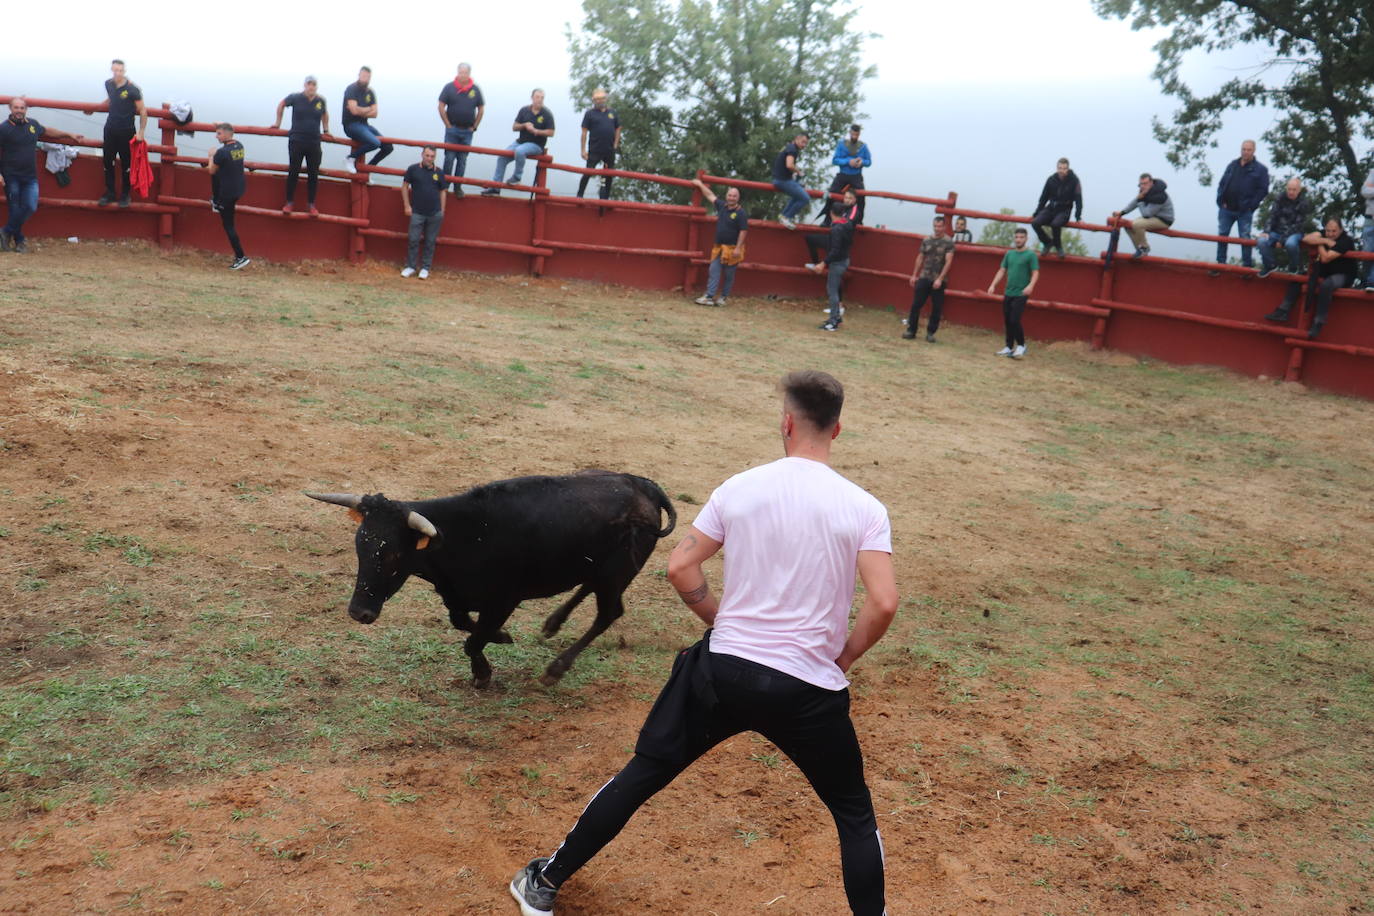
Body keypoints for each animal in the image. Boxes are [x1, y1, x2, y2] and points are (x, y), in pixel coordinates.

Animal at [309, 472, 678, 686]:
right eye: (360, 546)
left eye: (394, 556)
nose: (359, 612)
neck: (465, 535)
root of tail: (646, 486)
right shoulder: (456, 595)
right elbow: (463, 624)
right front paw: (501, 638)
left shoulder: (504, 600)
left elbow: (472, 640)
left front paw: (484, 672)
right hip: (602, 570)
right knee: (589, 590)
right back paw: (552, 623)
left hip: (617, 573)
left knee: (608, 614)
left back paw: (555, 670)